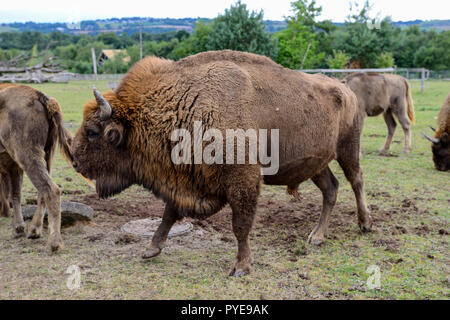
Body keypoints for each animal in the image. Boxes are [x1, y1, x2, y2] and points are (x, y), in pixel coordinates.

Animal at [0, 83, 72, 252]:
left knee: (51, 189)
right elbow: (15, 194)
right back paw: (34, 230)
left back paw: (54, 243)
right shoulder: (13, 167)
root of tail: (39, 95)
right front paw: (18, 228)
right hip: (46, 154)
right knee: (42, 191)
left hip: (28, 156)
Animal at [72, 50, 370, 276]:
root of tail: (347, 90)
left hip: (347, 150)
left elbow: (240, 225)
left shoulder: (243, 181)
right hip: (317, 163)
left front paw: (241, 267)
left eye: (93, 132)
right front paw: (151, 249)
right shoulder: (184, 181)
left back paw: (365, 224)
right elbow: (169, 214)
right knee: (331, 189)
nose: (75, 160)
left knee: (356, 181)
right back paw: (316, 236)